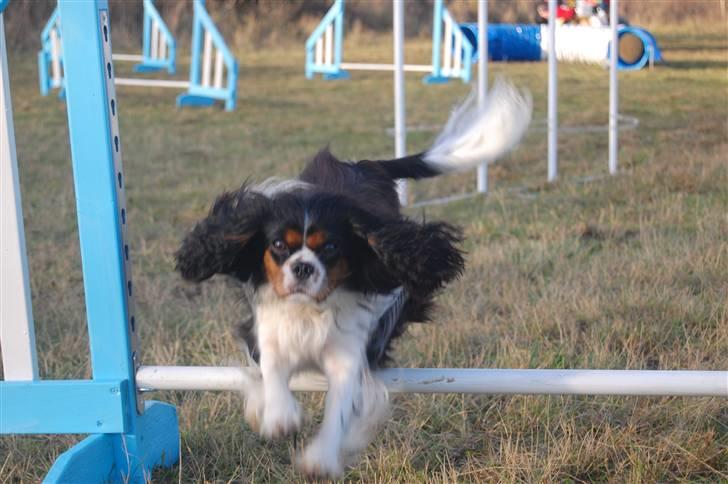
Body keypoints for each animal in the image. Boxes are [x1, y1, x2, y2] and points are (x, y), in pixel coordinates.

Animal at [174, 79, 532, 476]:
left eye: (330, 247)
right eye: (279, 245)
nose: (302, 267)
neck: (310, 311)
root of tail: (366, 165)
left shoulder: (348, 354)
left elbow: (341, 406)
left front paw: (320, 457)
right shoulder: (269, 331)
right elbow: (271, 369)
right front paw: (279, 416)